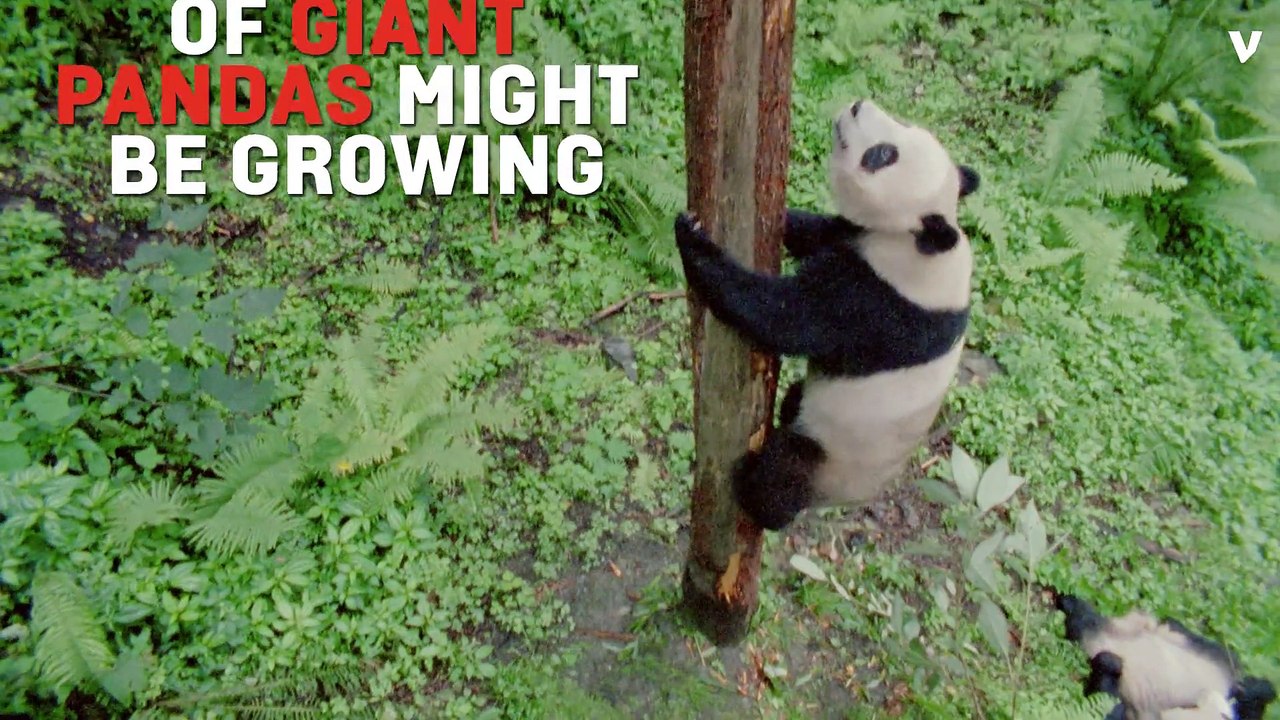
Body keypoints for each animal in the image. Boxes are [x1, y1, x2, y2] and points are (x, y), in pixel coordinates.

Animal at [674, 98, 981, 530]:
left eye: (881, 155)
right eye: (902, 124)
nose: (857, 105)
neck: (919, 243)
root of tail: (840, 501)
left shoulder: (880, 304)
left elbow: (786, 317)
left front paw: (692, 238)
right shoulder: (858, 242)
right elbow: (816, 231)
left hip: (831, 455)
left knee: (786, 469)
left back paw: (757, 494)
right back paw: (790, 404)